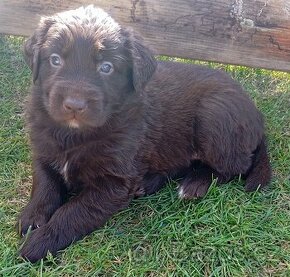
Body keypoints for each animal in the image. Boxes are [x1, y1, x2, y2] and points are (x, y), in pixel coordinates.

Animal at [18, 5, 272, 260]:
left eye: (106, 67)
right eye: (55, 60)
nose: (74, 105)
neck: (74, 134)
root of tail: (257, 116)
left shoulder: (113, 184)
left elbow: (73, 212)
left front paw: (39, 242)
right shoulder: (43, 151)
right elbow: (44, 185)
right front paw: (32, 217)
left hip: (214, 115)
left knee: (236, 166)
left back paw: (195, 184)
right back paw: (149, 182)